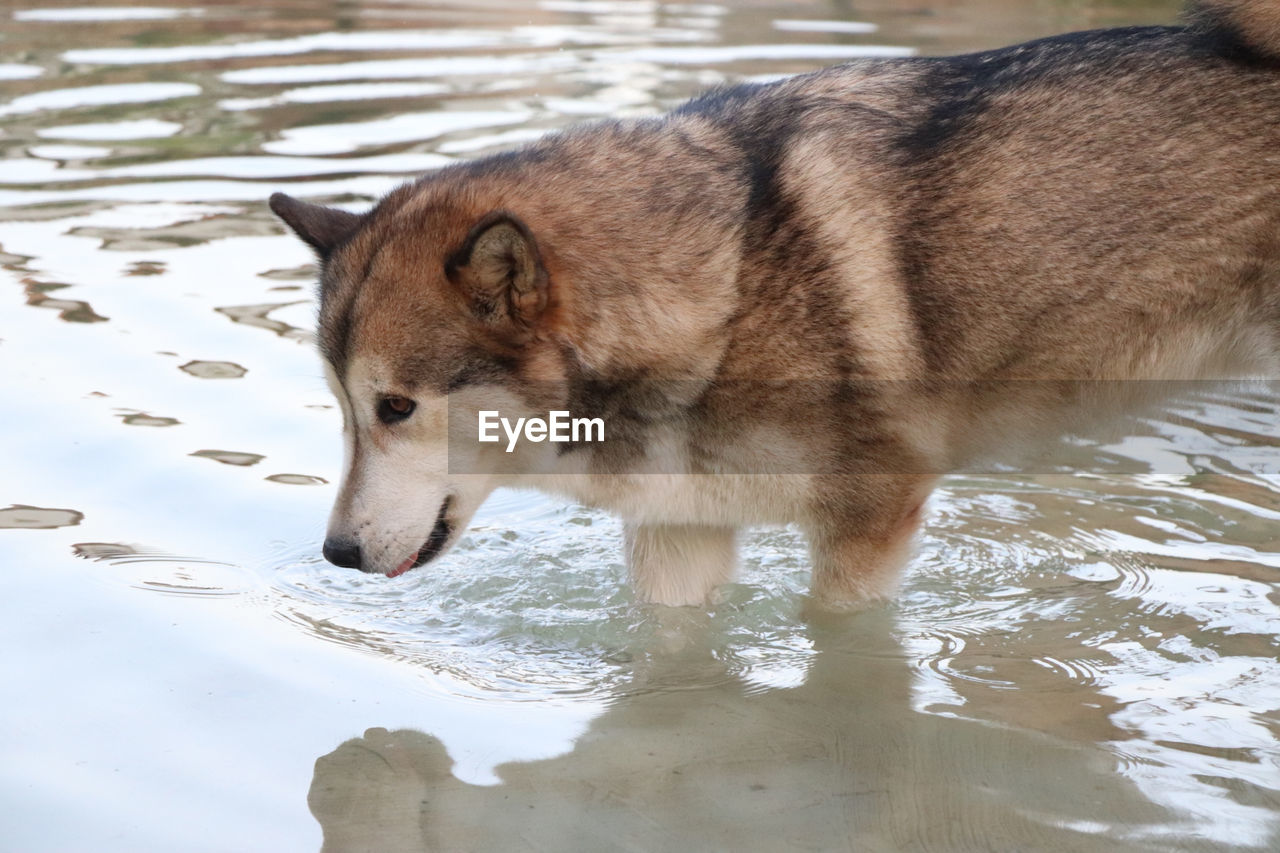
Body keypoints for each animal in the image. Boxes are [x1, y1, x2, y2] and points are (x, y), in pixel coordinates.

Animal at [270, 1, 1280, 604]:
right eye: (345, 411)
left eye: (396, 407)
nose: (335, 555)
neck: (726, 292)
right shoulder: (679, 533)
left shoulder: (868, 529)